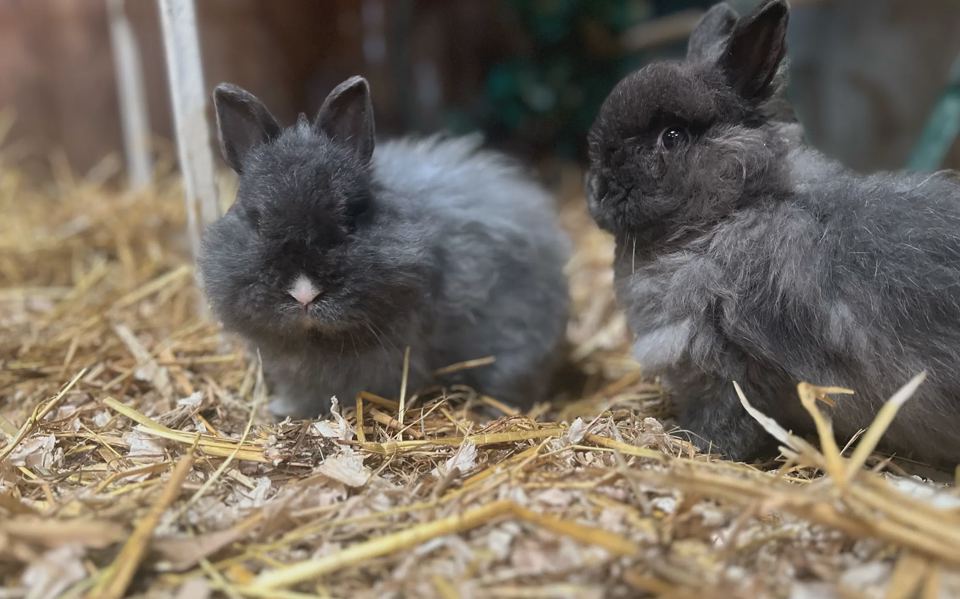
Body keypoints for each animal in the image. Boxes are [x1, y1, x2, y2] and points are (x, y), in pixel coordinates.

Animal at [585, 0, 960, 465]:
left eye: (671, 137)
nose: (599, 188)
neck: (734, 210)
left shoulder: (732, 371)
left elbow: (728, 422)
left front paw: (691, 443)